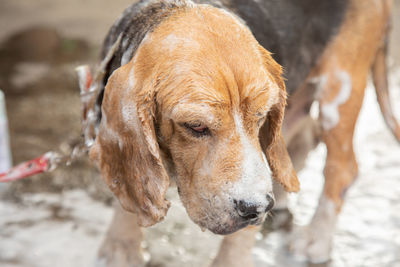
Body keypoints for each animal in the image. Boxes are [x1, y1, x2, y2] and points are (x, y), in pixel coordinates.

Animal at [80, 0, 396, 266]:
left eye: (262, 116)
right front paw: (120, 249)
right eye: (195, 126)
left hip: (340, 90)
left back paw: (316, 238)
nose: (258, 208)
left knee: (342, 168)